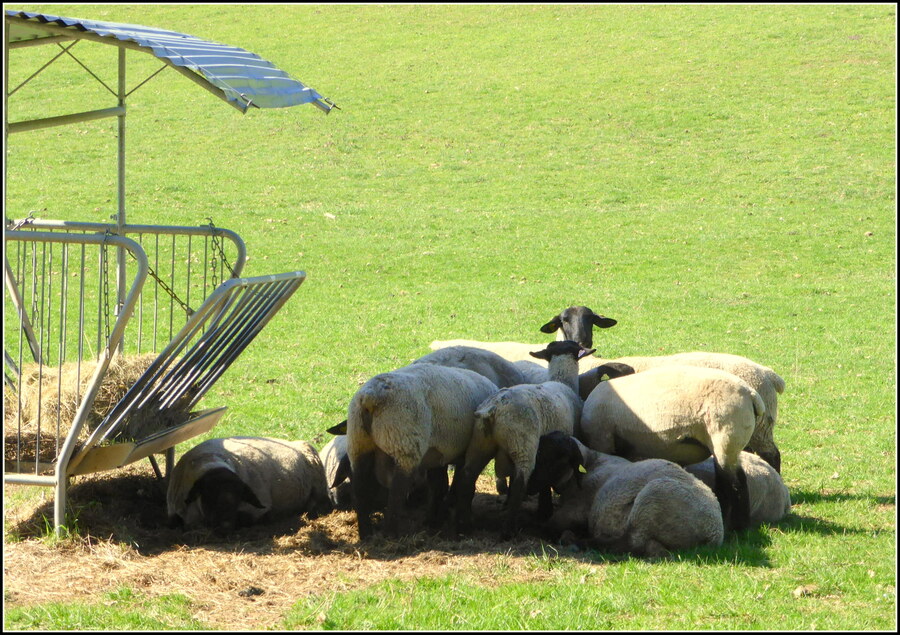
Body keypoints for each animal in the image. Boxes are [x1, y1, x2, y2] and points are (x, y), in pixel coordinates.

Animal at [346, 360, 500, 540]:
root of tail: (370, 398)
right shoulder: (461, 453)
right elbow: (458, 484)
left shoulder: (437, 453)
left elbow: (439, 485)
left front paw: (433, 520)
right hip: (404, 445)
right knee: (397, 492)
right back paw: (391, 534)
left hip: (358, 442)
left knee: (359, 489)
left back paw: (366, 533)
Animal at [454, 340, 596, 540]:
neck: (562, 381)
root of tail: (493, 409)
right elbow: (543, 483)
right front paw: (544, 511)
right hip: (522, 444)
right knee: (520, 482)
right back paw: (508, 530)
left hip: (479, 442)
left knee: (466, 478)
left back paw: (463, 527)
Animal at [528, 432, 724, 556]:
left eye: (559, 459)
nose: (530, 484)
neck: (590, 463)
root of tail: (714, 534)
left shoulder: (577, 509)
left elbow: (546, 527)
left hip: (651, 499)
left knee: (631, 542)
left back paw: (576, 541)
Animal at [580, 362, 764, 532]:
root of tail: (751, 394)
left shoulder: (602, 440)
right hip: (729, 443)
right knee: (731, 479)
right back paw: (738, 523)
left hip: (725, 437)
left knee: (734, 483)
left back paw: (735, 525)